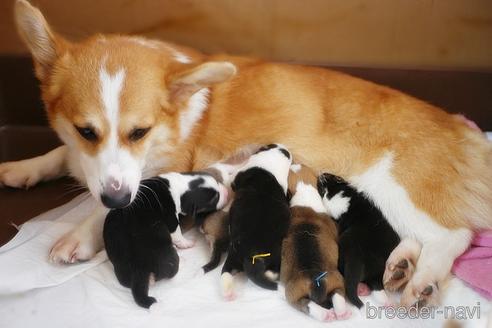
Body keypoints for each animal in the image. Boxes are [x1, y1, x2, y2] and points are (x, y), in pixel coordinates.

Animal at [104, 172, 229, 308]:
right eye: (214, 198)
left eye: (217, 181)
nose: (228, 192)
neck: (181, 185)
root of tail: (139, 267)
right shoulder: (171, 218)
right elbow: (177, 234)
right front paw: (187, 243)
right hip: (168, 257)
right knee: (171, 270)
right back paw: (181, 261)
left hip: (120, 267)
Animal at [220, 144, 292, 300]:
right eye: (271, 145)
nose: (283, 146)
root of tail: (252, 257)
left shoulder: (238, 175)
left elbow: (231, 179)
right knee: (226, 274)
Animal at [280, 163, 350, 322]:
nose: (294, 163)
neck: (304, 191)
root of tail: (315, 281)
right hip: (332, 281)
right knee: (333, 297)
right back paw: (334, 314)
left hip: (303, 290)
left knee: (311, 304)